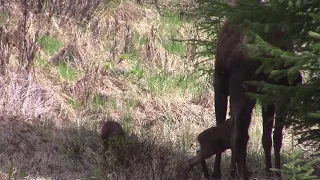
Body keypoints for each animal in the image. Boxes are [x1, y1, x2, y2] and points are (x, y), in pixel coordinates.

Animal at [212, 0, 302, 180]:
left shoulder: (266, 97)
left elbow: (266, 137)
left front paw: (270, 171)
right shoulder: (277, 96)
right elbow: (275, 136)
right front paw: (276, 172)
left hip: (236, 91)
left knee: (237, 132)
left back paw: (234, 172)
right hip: (235, 89)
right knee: (234, 133)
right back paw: (229, 173)